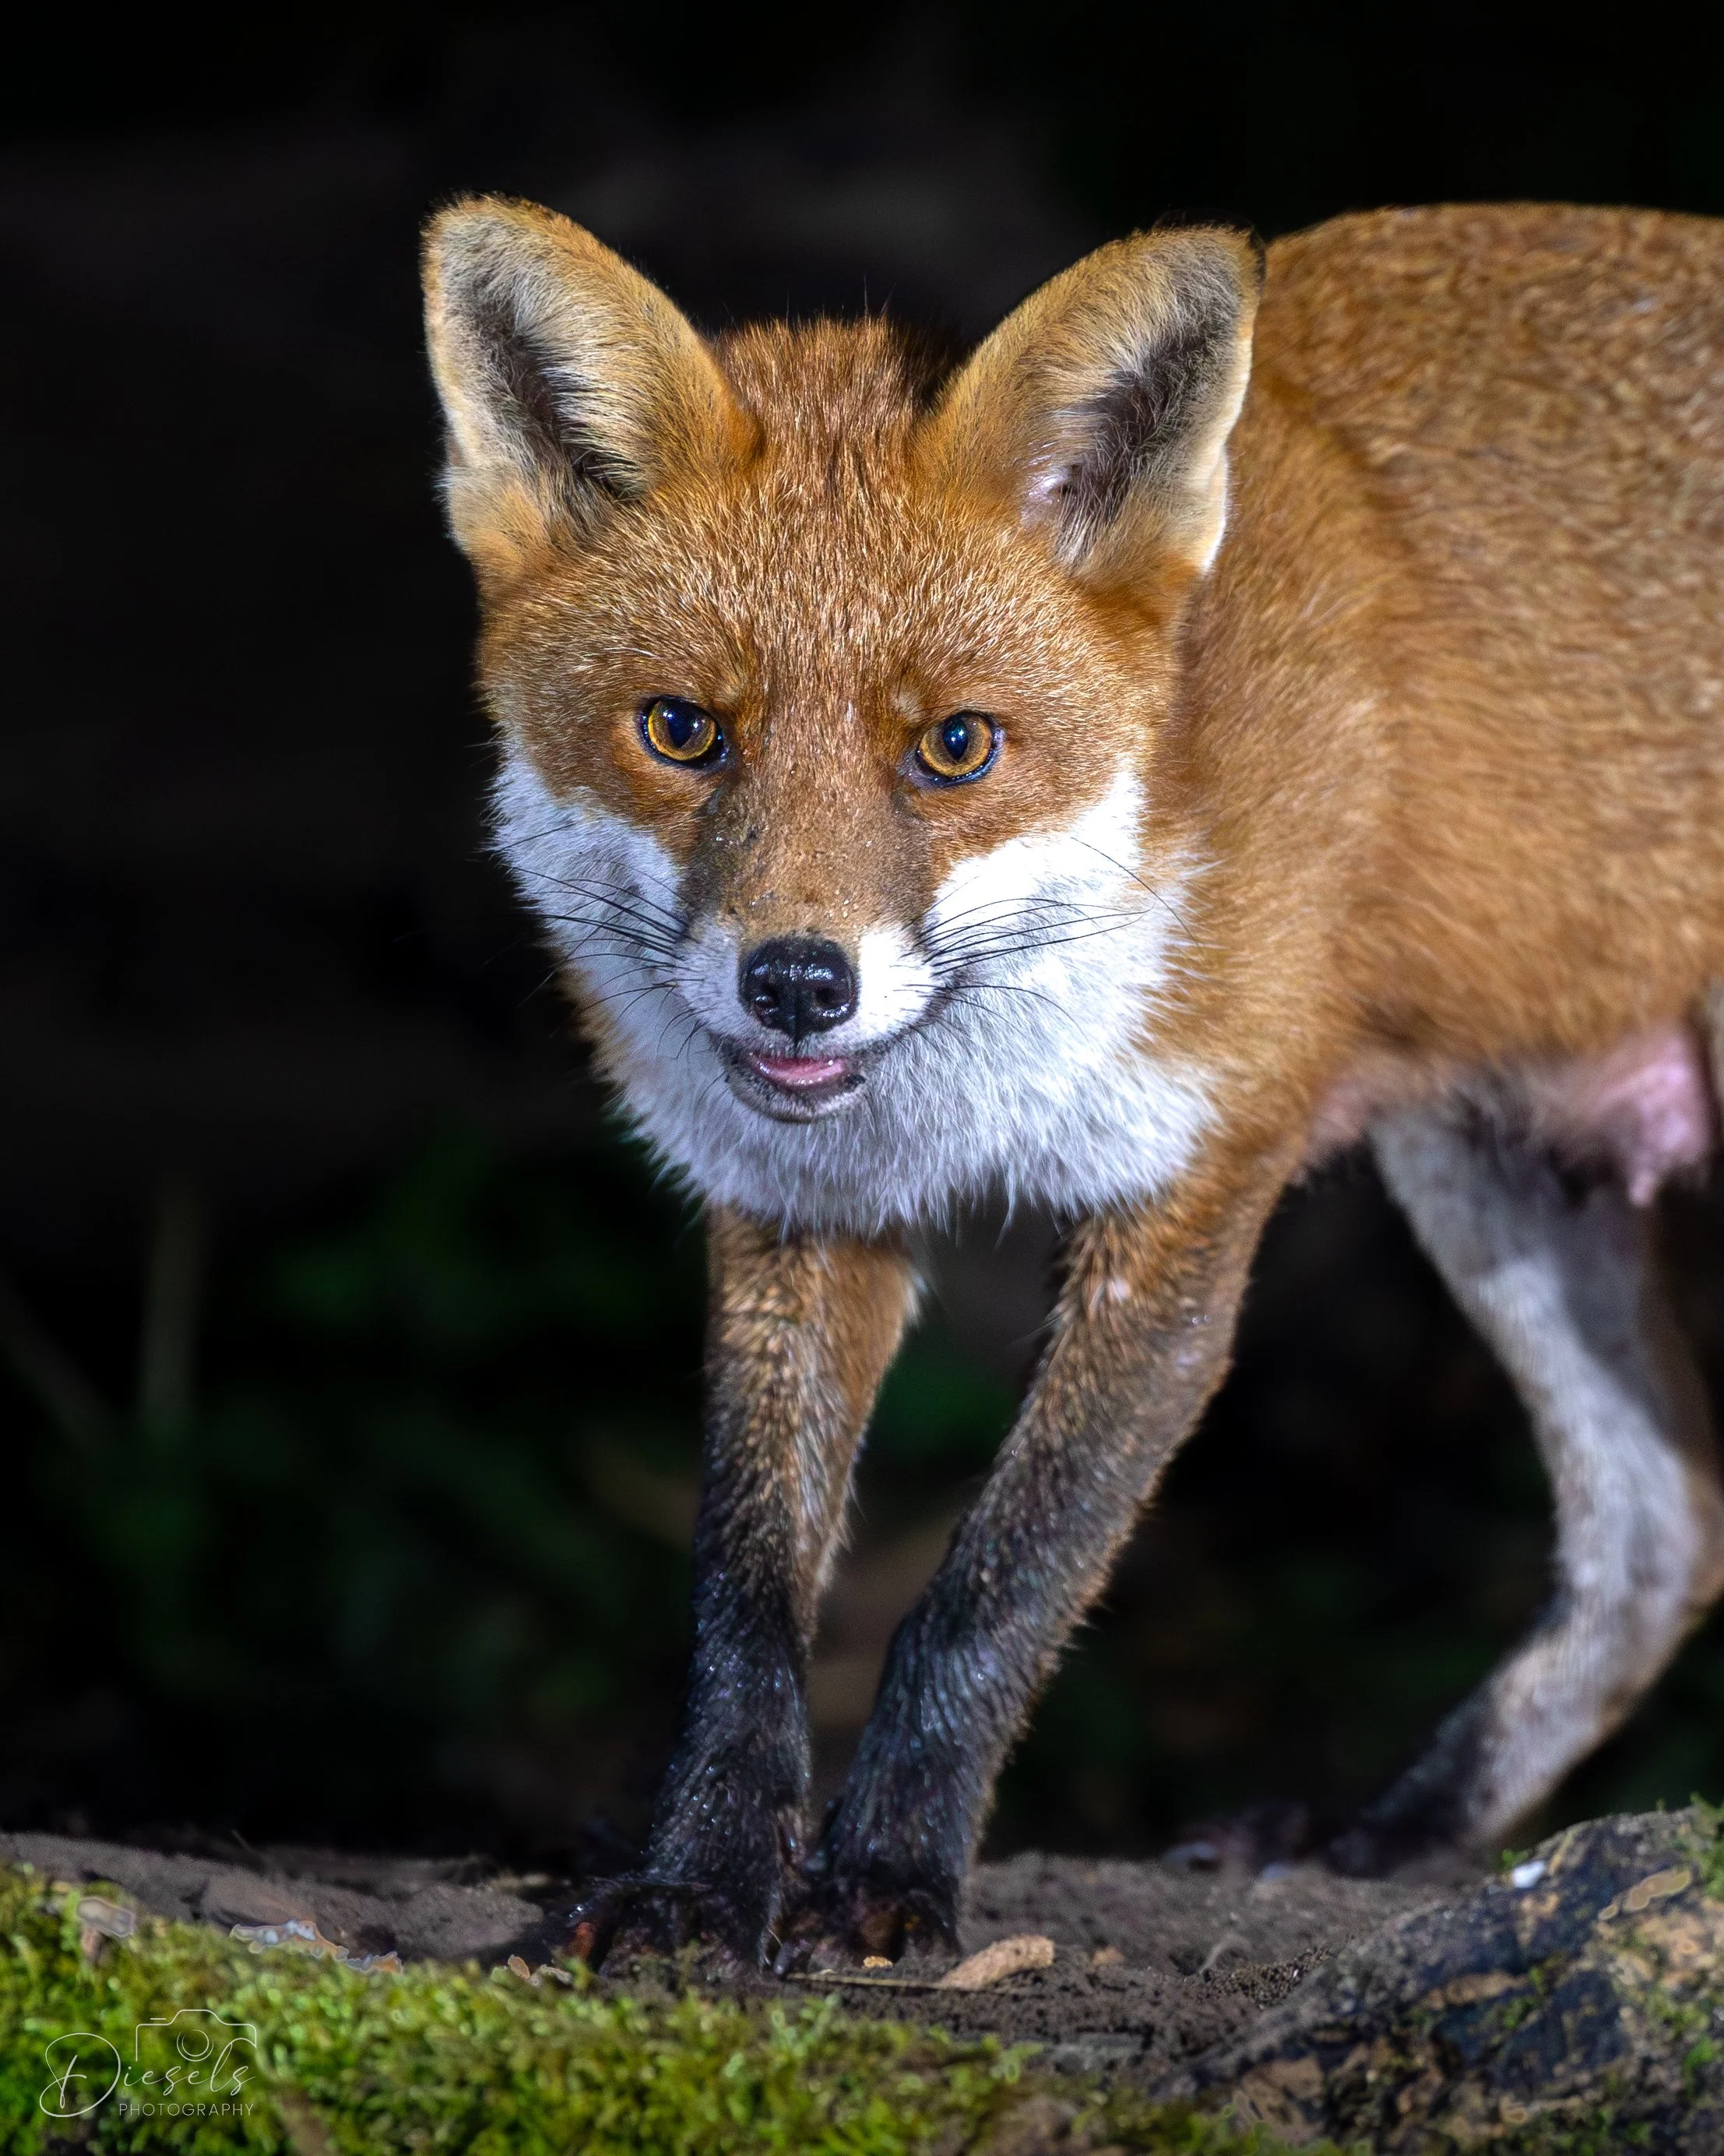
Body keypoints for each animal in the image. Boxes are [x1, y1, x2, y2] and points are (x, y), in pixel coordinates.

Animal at [421, 195, 1724, 1968]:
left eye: (955, 747)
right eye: (682, 730)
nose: (798, 980)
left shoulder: (1186, 1199)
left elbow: (996, 1584)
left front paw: (887, 1877)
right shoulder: (794, 1210)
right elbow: (744, 1601)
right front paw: (701, 1876)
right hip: (1495, 1173)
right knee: (1663, 1538)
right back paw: (1386, 1836)